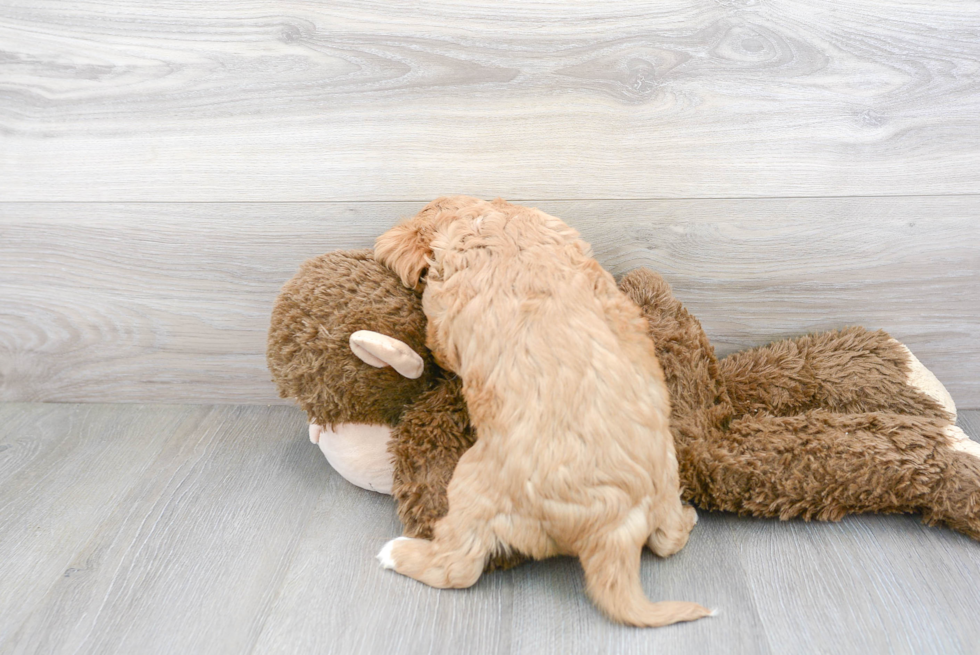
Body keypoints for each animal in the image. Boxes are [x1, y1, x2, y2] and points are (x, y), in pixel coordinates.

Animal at [372, 197, 708, 628]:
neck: (489, 220)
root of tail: (616, 527)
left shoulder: (444, 307)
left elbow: (438, 339)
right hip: (667, 474)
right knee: (669, 541)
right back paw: (688, 517)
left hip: (471, 484)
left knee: (457, 566)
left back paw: (397, 553)